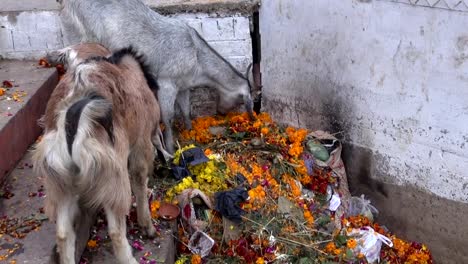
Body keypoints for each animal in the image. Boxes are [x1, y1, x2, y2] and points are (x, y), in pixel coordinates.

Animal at [33, 43, 165, 264]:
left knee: (63, 234)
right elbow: (140, 183)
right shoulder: (141, 147)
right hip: (113, 177)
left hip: (61, 180)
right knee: (116, 232)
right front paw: (148, 227)